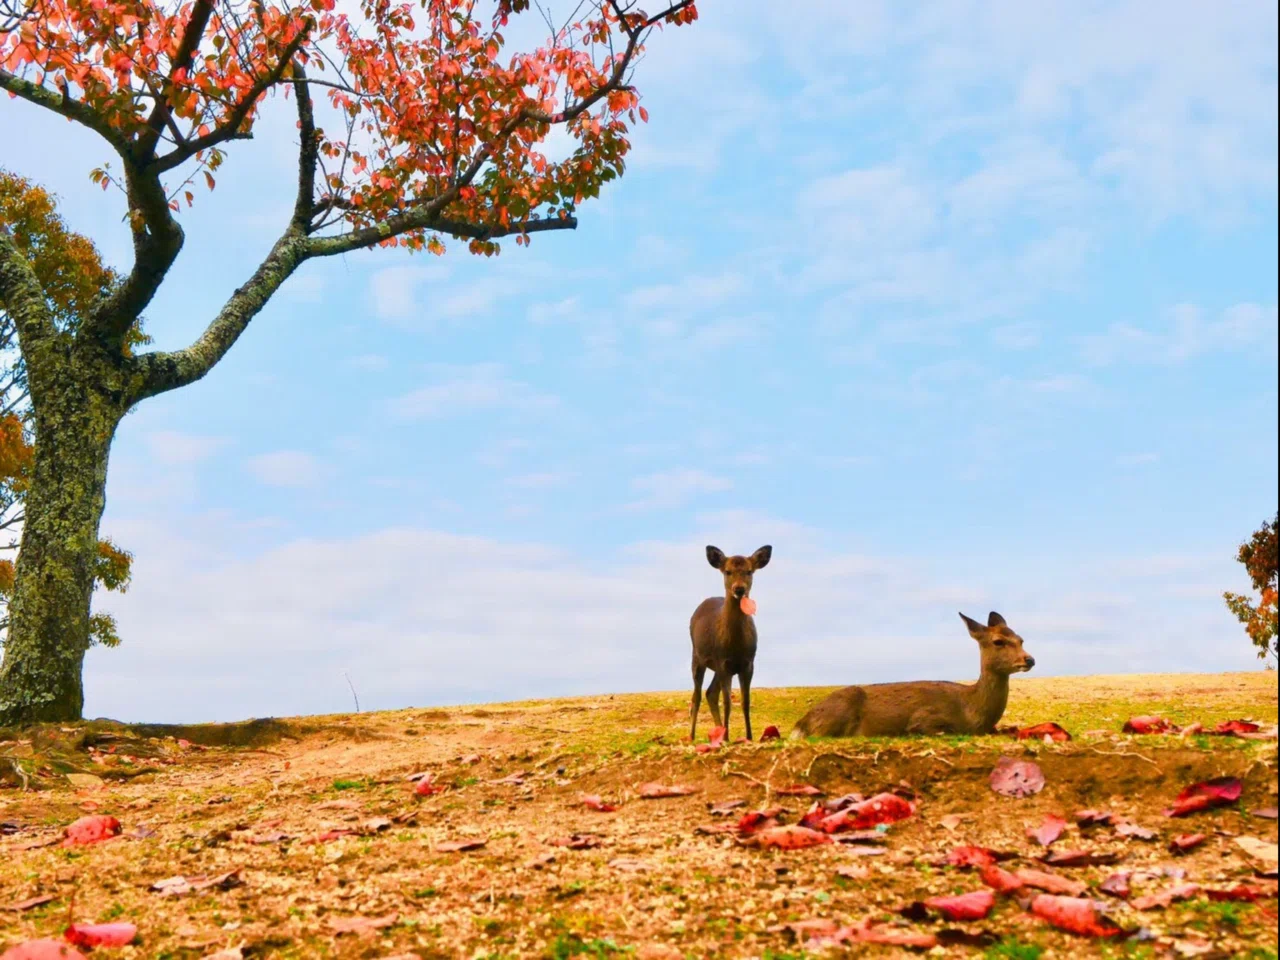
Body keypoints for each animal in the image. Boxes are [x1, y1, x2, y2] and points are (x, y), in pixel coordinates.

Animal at [689, 544, 772, 743]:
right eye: (728, 571)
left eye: (749, 571)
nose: (739, 589)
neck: (735, 646)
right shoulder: (722, 661)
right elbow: (727, 702)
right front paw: (727, 737)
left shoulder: (748, 663)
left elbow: (745, 702)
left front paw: (748, 737)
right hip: (697, 656)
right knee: (697, 696)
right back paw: (692, 736)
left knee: (710, 693)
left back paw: (718, 733)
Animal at [789, 611, 1034, 739]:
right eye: (998, 641)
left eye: (1021, 639)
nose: (1029, 659)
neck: (970, 712)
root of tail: (801, 723)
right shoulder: (924, 720)